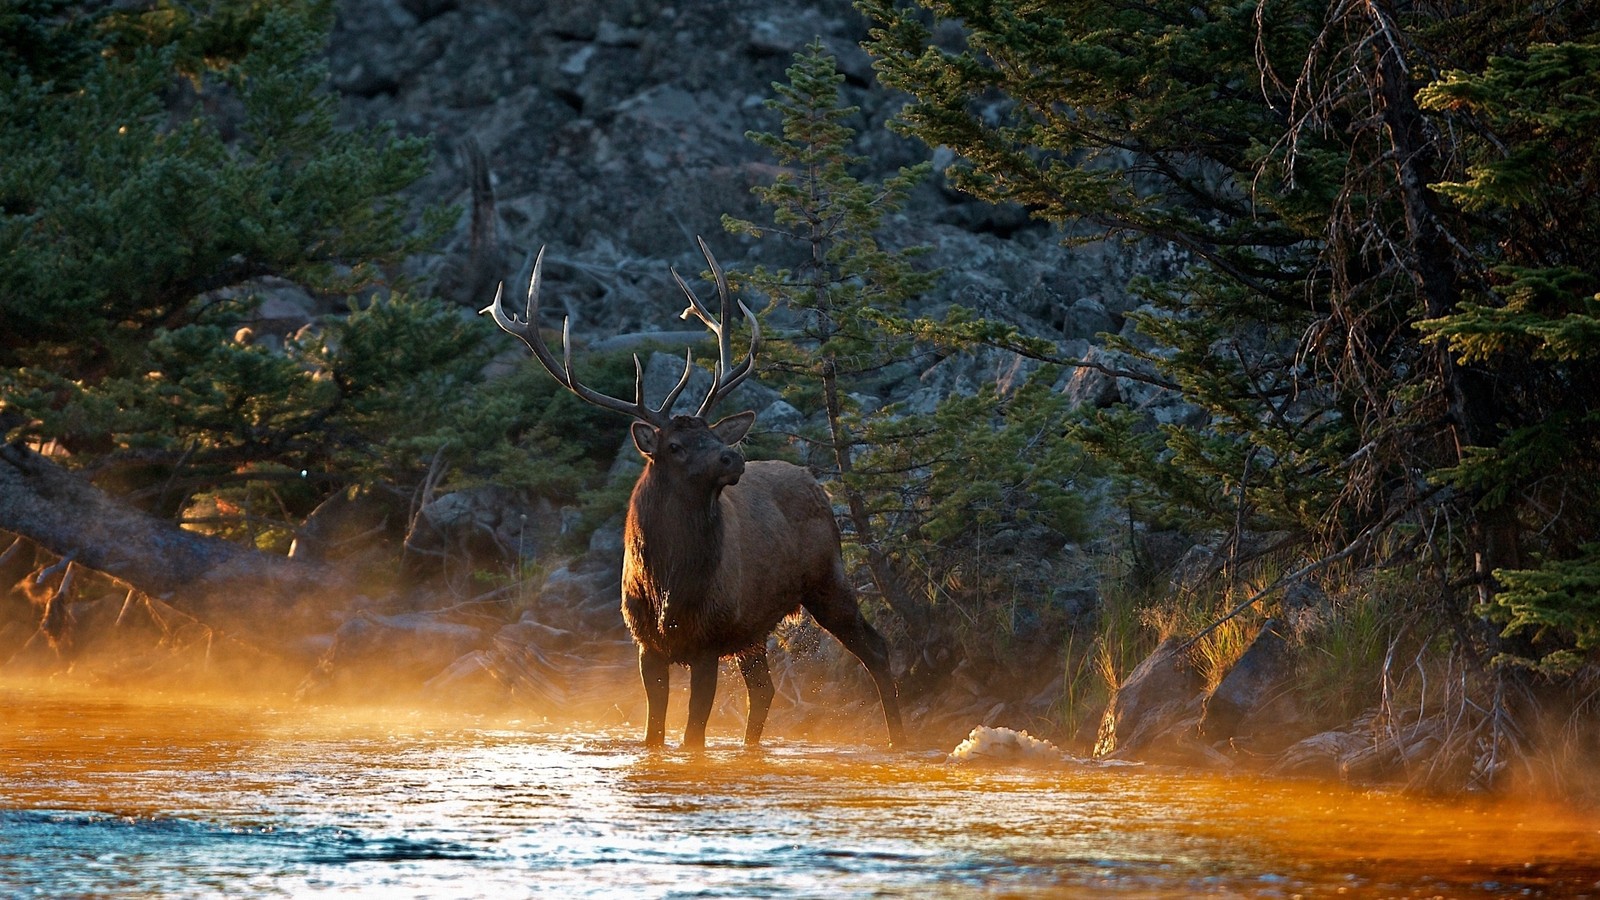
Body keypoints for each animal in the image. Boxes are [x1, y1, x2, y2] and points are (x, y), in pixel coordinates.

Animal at [480, 235, 908, 746]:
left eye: (713, 434)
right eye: (676, 445)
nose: (732, 457)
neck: (669, 586)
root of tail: (817, 485)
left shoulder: (708, 640)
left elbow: (693, 736)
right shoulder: (646, 643)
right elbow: (654, 734)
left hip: (827, 577)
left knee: (876, 648)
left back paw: (900, 739)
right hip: (753, 627)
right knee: (764, 691)